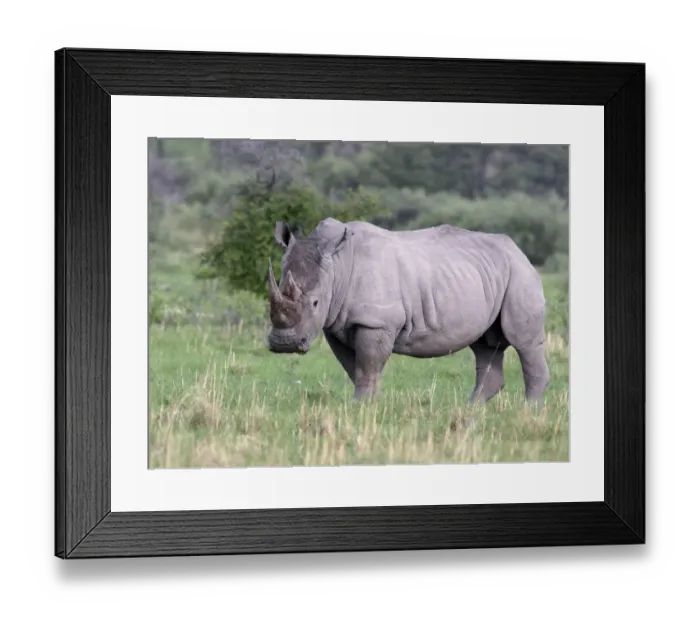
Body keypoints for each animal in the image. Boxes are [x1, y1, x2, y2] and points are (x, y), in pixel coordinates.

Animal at [266, 217, 550, 404]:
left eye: (315, 303)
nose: (284, 344)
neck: (338, 265)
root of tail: (518, 250)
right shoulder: (336, 324)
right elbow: (354, 367)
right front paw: (367, 404)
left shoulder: (376, 320)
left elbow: (367, 364)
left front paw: (360, 406)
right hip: (486, 275)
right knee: (485, 345)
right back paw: (470, 410)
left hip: (520, 273)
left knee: (523, 342)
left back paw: (528, 411)